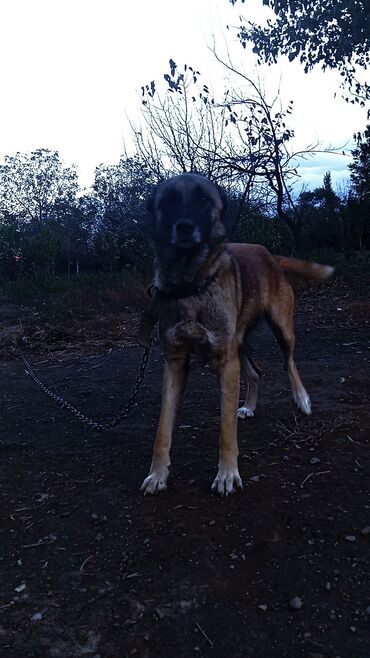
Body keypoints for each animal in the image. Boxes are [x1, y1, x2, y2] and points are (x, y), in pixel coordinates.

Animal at [139, 172, 336, 494]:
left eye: (203, 199)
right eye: (168, 201)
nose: (185, 227)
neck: (191, 286)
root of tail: (268, 254)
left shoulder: (225, 363)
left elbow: (226, 428)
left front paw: (228, 474)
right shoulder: (175, 363)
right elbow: (162, 429)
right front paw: (157, 474)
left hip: (280, 329)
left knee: (288, 362)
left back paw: (302, 398)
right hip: (238, 344)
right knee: (255, 373)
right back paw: (250, 406)